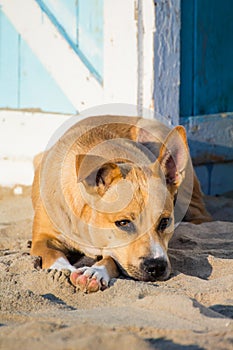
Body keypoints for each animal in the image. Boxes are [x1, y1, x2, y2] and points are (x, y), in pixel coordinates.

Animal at [31, 115, 211, 292]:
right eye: (123, 223)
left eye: (165, 221)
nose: (156, 266)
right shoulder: (42, 238)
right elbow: (53, 254)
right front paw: (64, 269)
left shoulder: (115, 250)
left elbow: (111, 259)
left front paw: (95, 272)